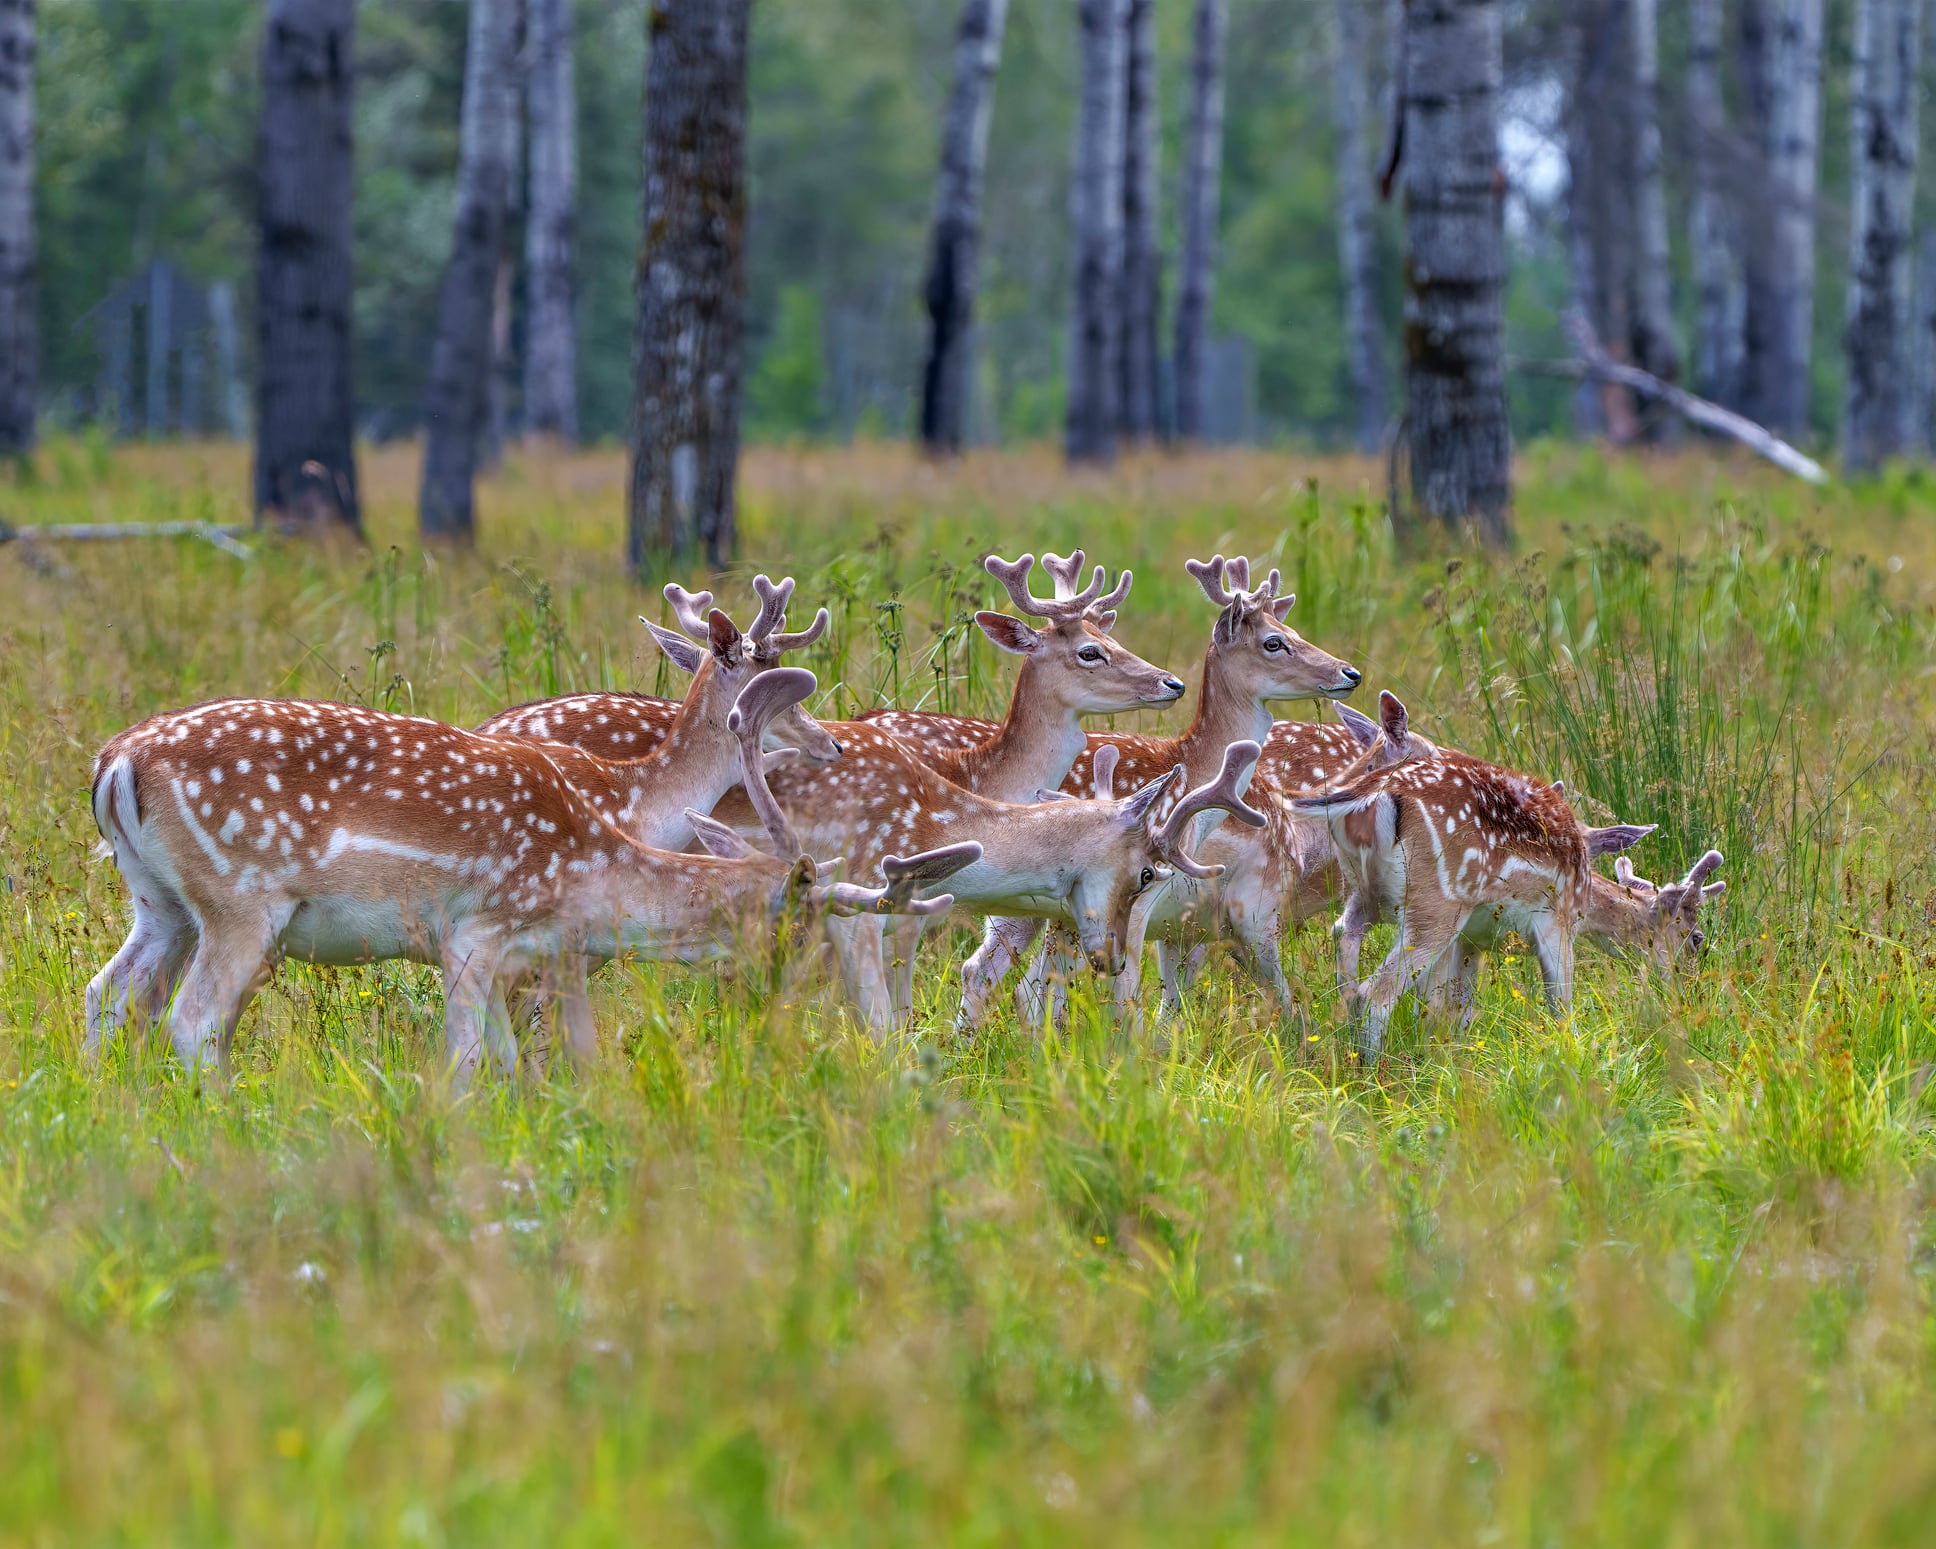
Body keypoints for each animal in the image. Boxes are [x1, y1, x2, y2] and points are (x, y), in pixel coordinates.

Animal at [83, 669, 975, 1084]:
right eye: (799, 920)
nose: (790, 1004)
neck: (586, 872)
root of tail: (116, 760)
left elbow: (511, 1061)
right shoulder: (473, 933)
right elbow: (466, 1060)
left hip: (159, 902)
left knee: (109, 991)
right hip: (240, 900)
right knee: (193, 1020)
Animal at [1285, 693, 1726, 1068]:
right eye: (1696, 937)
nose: (1689, 993)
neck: (1586, 898)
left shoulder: (1472, 939)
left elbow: (1456, 1011)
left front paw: (1451, 1060)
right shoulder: (1556, 920)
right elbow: (1560, 1004)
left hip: (1365, 891)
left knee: (1345, 947)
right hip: (1437, 902)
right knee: (1373, 994)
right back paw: (1372, 1074)